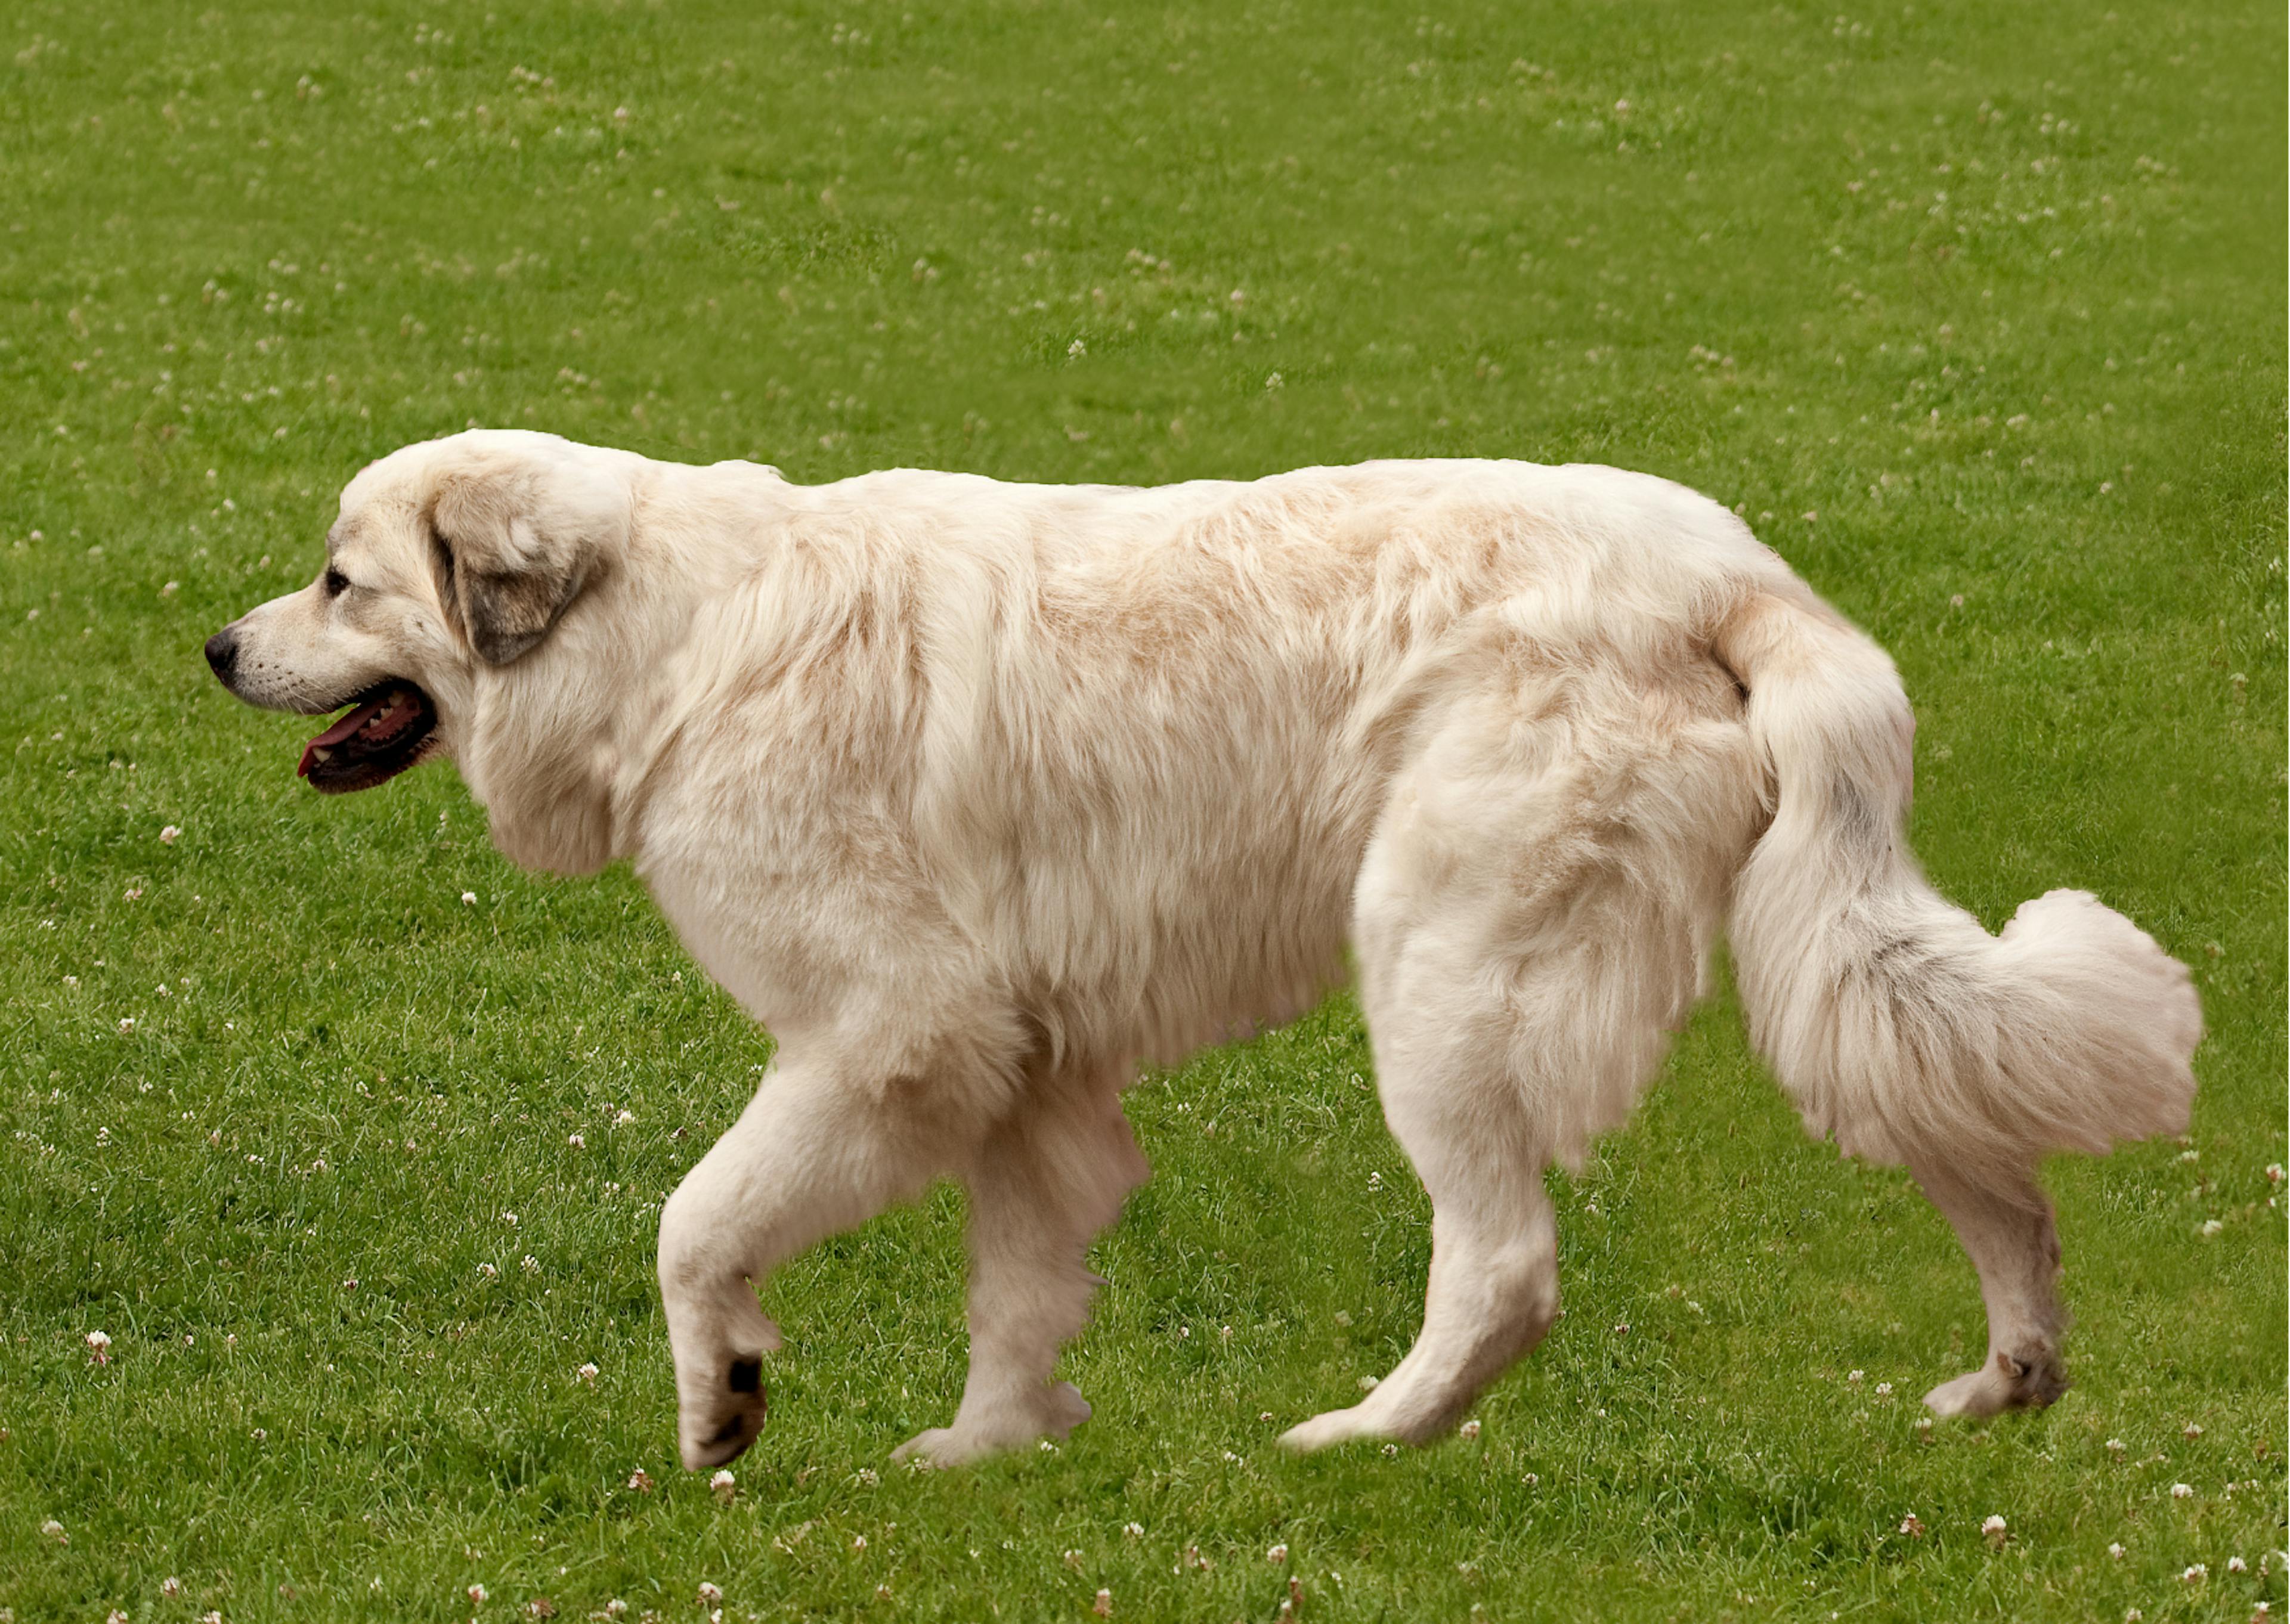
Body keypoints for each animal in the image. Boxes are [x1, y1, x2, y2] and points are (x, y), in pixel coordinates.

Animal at [211, 430, 2198, 1465]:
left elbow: (695, 1223)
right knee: (1980, 1161)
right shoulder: (1017, 1065)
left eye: (339, 578)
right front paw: (987, 1455)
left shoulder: (888, 1036)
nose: (215, 648)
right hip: (1814, 964)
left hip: (1441, 977)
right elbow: (1016, 1284)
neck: (675, 641)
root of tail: (1731, 569)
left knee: (1502, 1264)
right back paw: (2011, 1377)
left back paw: (1366, 1441)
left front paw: (723, 1406)